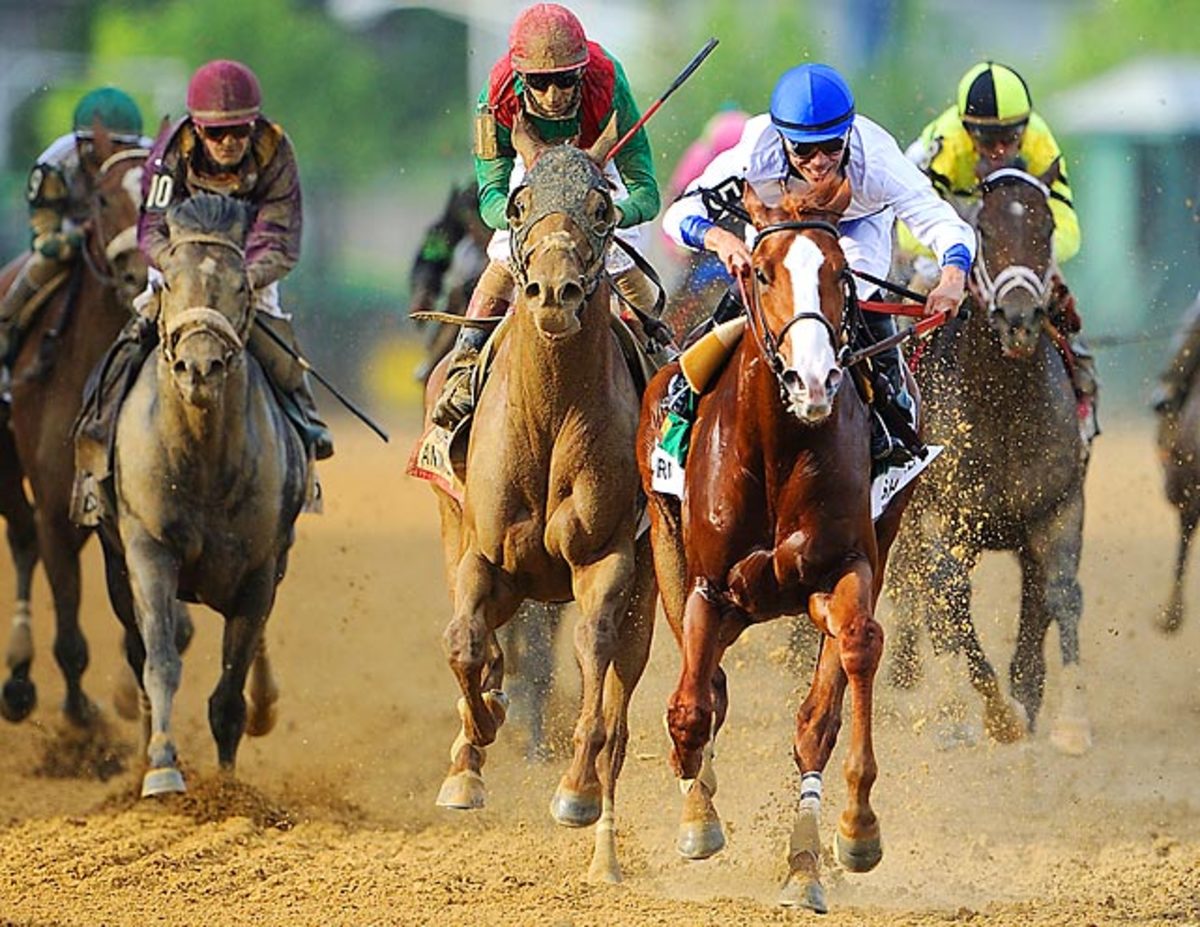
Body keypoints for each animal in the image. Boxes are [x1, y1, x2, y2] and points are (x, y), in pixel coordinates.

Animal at [0, 132, 169, 725]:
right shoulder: (57, 504)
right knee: (23, 538)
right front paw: (80, 722)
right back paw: (19, 679)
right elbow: (70, 628)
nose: (139, 272)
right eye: (100, 199)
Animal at [96, 192, 307, 792]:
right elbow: (161, 661)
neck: (205, 464)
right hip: (117, 567)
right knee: (138, 650)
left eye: (241, 286)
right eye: (168, 280)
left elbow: (229, 694)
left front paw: (229, 790)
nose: (200, 366)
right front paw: (163, 767)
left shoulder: (259, 569)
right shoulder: (148, 548)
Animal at [424, 141, 657, 878]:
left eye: (602, 206)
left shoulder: (606, 558)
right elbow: (464, 642)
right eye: (521, 204)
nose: (554, 294)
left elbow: (593, 653)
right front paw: (469, 758)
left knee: (619, 707)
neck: (551, 412)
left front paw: (573, 788)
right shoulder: (483, 553)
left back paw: (607, 850)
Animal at [638, 178, 916, 912]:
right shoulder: (708, 585)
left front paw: (850, 834)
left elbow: (844, 672)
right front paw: (698, 817)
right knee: (705, 686)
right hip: (670, 560)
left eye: (841, 273)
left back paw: (808, 859)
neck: (776, 449)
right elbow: (689, 709)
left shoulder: (844, 566)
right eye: (761, 272)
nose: (813, 381)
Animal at [888, 166, 1094, 758]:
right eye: (983, 230)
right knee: (927, 598)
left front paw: (1068, 719)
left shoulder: (1059, 507)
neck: (1001, 405)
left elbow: (1062, 593)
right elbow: (950, 600)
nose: (1020, 320)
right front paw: (987, 714)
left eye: (1046, 227)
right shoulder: (946, 519)